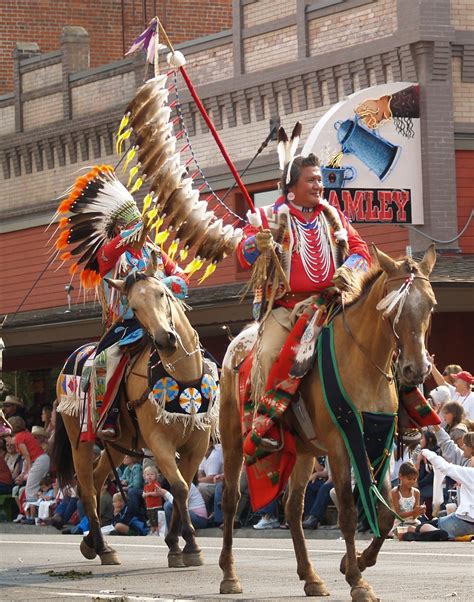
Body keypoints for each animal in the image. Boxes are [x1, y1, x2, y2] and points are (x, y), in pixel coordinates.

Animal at [52, 260, 214, 564]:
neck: (182, 377)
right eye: (134, 308)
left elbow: (183, 489)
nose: (165, 340)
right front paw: (190, 545)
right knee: (87, 488)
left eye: (163, 294)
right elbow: (179, 487)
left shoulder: (196, 446)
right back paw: (102, 547)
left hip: (119, 444)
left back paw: (94, 544)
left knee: (98, 479)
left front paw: (175, 543)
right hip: (81, 440)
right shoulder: (160, 443)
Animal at [218, 245, 436, 600]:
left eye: (430, 304)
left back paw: (310, 576)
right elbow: (348, 510)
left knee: (293, 508)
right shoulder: (339, 445)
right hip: (233, 438)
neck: (363, 362)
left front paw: (355, 563)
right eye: (392, 307)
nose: (415, 369)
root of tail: (238, 343)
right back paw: (229, 574)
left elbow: (385, 513)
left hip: (304, 453)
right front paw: (358, 581)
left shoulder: (378, 442)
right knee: (230, 501)